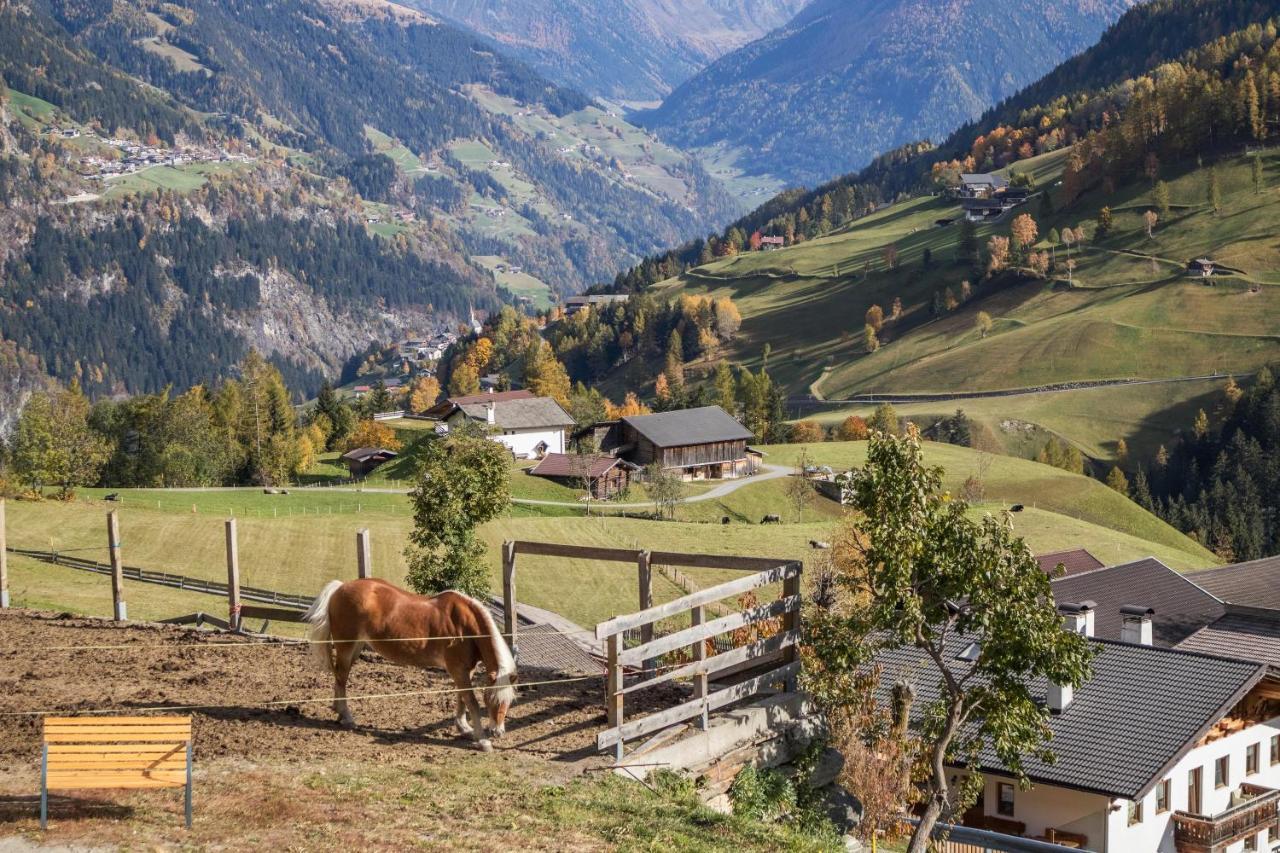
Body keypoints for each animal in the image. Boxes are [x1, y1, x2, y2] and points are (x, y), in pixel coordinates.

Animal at [302, 573, 517, 747]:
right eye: (491, 699)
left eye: (509, 700)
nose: (498, 732)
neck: (465, 626)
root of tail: (340, 587)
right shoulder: (458, 670)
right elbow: (471, 701)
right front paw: (482, 740)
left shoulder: (465, 671)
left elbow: (461, 698)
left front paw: (464, 728)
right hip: (346, 647)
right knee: (341, 678)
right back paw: (347, 717)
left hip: (356, 647)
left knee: (341, 676)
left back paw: (339, 711)